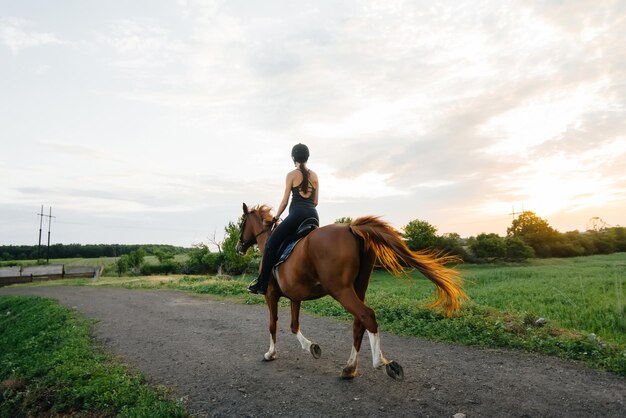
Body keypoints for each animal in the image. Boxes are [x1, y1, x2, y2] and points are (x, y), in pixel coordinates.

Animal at [236, 204, 466, 380]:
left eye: (241, 223)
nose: (239, 247)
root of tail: (351, 228)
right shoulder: (295, 297)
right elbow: (294, 326)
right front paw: (312, 347)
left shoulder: (271, 295)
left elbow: (272, 324)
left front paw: (270, 354)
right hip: (358, 287)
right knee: (359, 322)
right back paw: (350, 368)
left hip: (341, 290)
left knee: (367, 315)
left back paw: (382, 363)